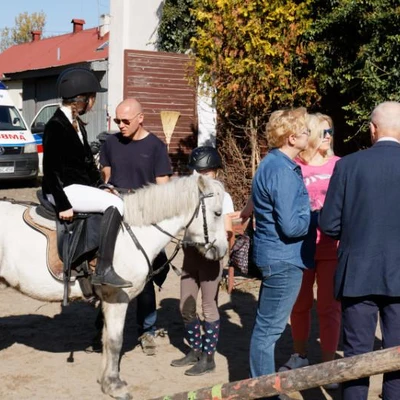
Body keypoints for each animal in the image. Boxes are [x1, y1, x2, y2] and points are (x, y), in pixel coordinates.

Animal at [0, 175, 227, 400]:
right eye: (217, 213)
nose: (222, 250)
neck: (136, 233)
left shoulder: (109, 301)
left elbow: (106, 340)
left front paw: (105, 381)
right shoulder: (118, 298)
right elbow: (115, 341)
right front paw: (115, 385)